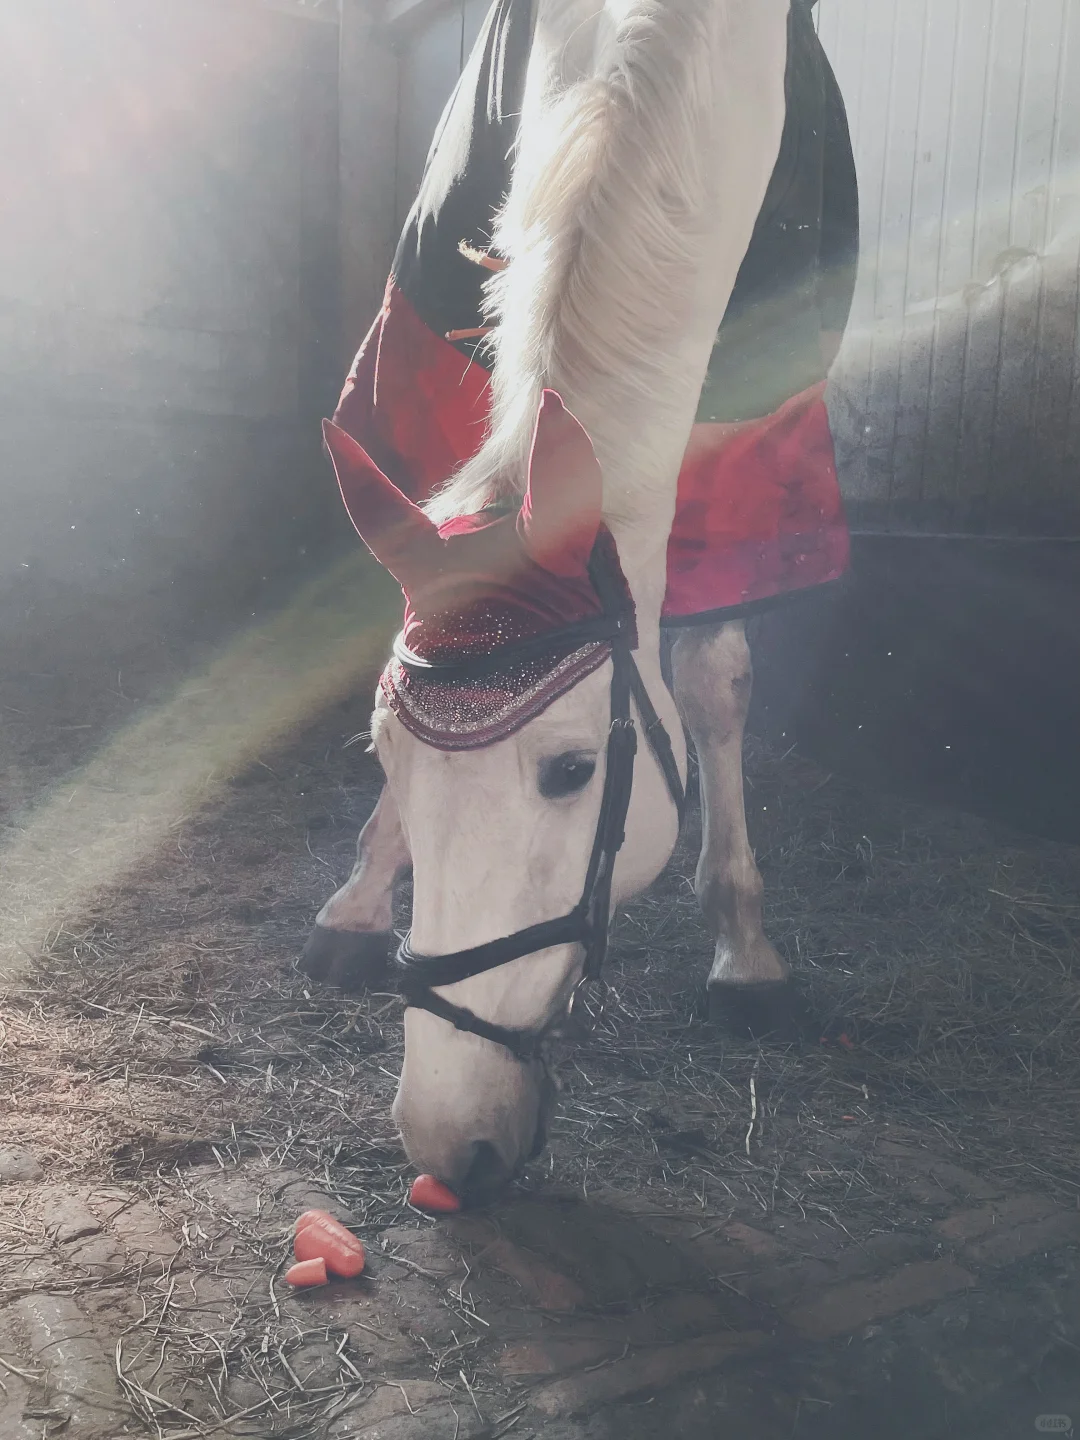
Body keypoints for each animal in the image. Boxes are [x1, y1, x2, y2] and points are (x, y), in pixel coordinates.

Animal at [304, 0, 858, 1198]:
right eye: (384, 757)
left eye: (571, 773)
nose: (443, 1139)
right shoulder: (433, 363)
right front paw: (362, 892)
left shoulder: (755, 423)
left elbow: (713, 677)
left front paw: (744, 951)